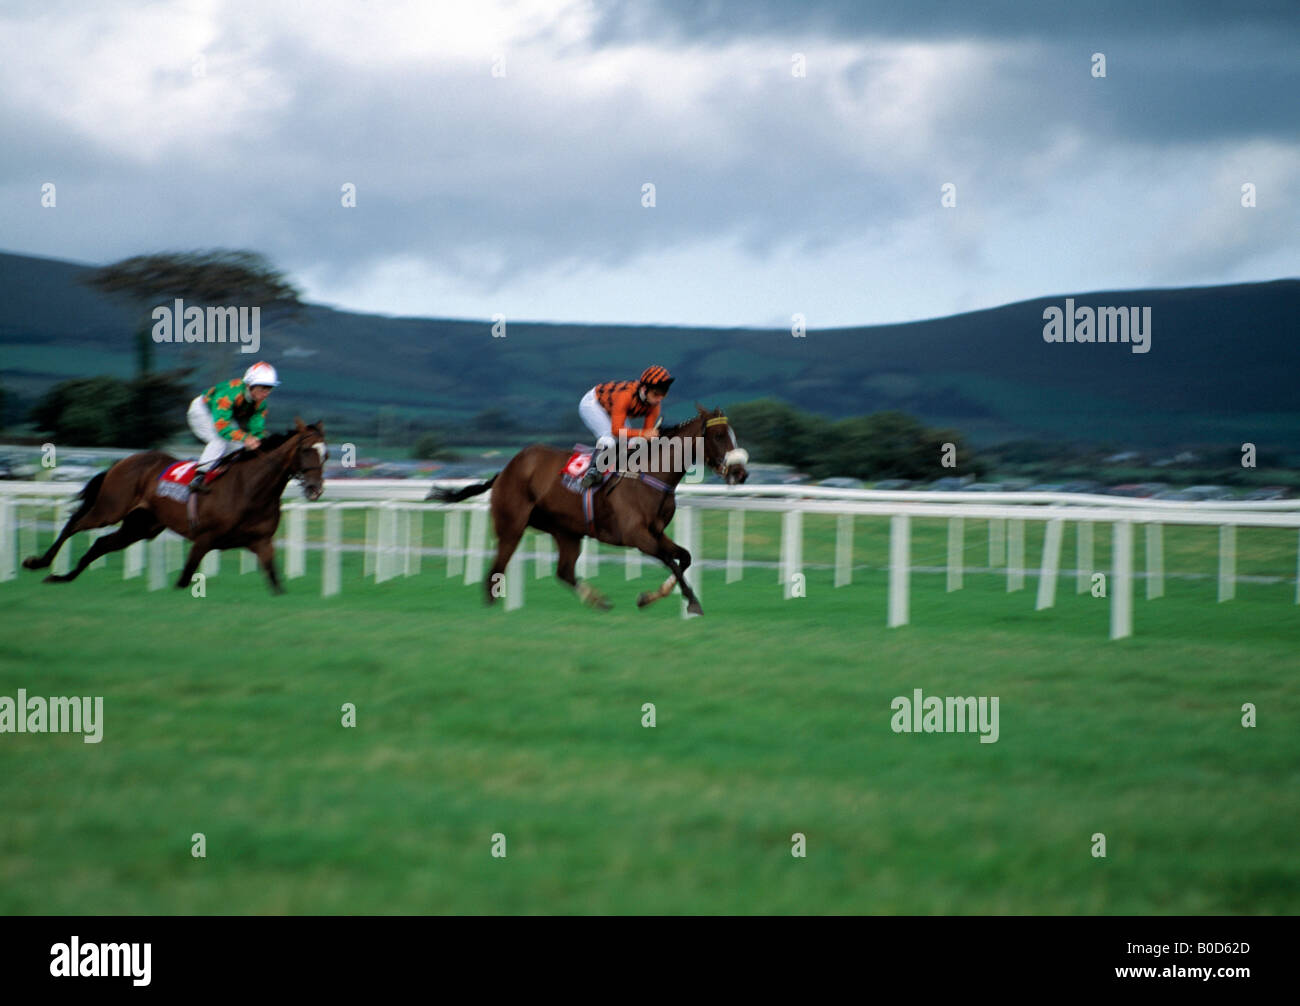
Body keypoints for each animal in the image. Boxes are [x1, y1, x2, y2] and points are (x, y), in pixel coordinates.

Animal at [24, 418, 327, 595]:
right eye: (305, 450)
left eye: (325, 454)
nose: (315, 490)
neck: (250, 489)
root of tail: (122, 461)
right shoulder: (204, 538)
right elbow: (183, 579)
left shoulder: (262, 542)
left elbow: (276, 582)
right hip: (110, 509)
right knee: (74, 524)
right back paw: (38, 562)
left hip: (141, 526)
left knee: (101, 544)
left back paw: (62, 577)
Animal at [428, 408, 754, 613]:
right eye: (718, 436)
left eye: (733, 434)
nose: (741, 473)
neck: (650, 474)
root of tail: (506, 469)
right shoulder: (637, 536)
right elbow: (670, 561)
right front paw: (690, 602)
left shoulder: (656, 532)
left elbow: (684, 557)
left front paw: (650, 597)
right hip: (512, 525)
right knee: (495, 571)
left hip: (567, 532)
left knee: (564, 572)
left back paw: (598, 600)